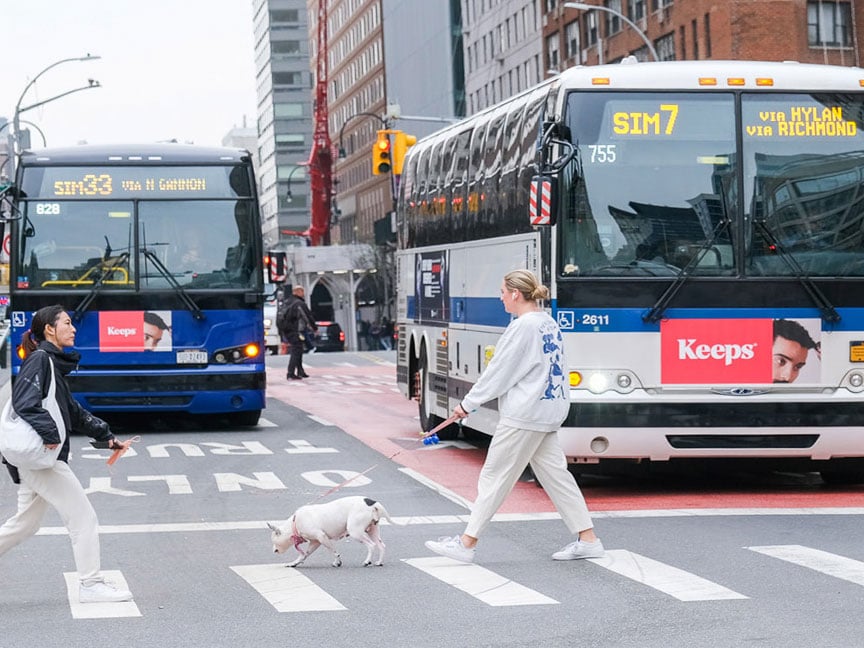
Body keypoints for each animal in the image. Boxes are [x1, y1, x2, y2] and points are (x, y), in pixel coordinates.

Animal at [266, 496, 394, 568]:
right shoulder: (315, 542)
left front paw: (337, 562)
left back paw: (367, 561)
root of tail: (372, 503)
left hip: (355, 532)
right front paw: (294, 563)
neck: (295, 523)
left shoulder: (322, 537)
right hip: (373, 530)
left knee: (371, 545)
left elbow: (334, 552)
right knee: (381, 545)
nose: (273, 550)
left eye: (274, 541)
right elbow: (304, 555)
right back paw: (379, 562)